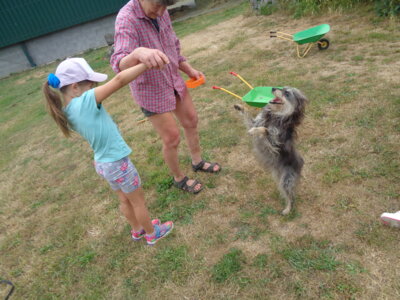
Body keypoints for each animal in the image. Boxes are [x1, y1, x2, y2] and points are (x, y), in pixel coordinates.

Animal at [233, 85, 308, 214]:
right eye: (282, 87)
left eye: (287, 93)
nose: (273, 88)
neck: (277, 115)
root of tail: (301, 164)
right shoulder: (255, 122)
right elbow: (250, 118)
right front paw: (240, 107)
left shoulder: (274, 145)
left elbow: (264, 129)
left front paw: (255, 131)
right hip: (279, 178)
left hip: (286, 180)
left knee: (291, 196)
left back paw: (287, 209)